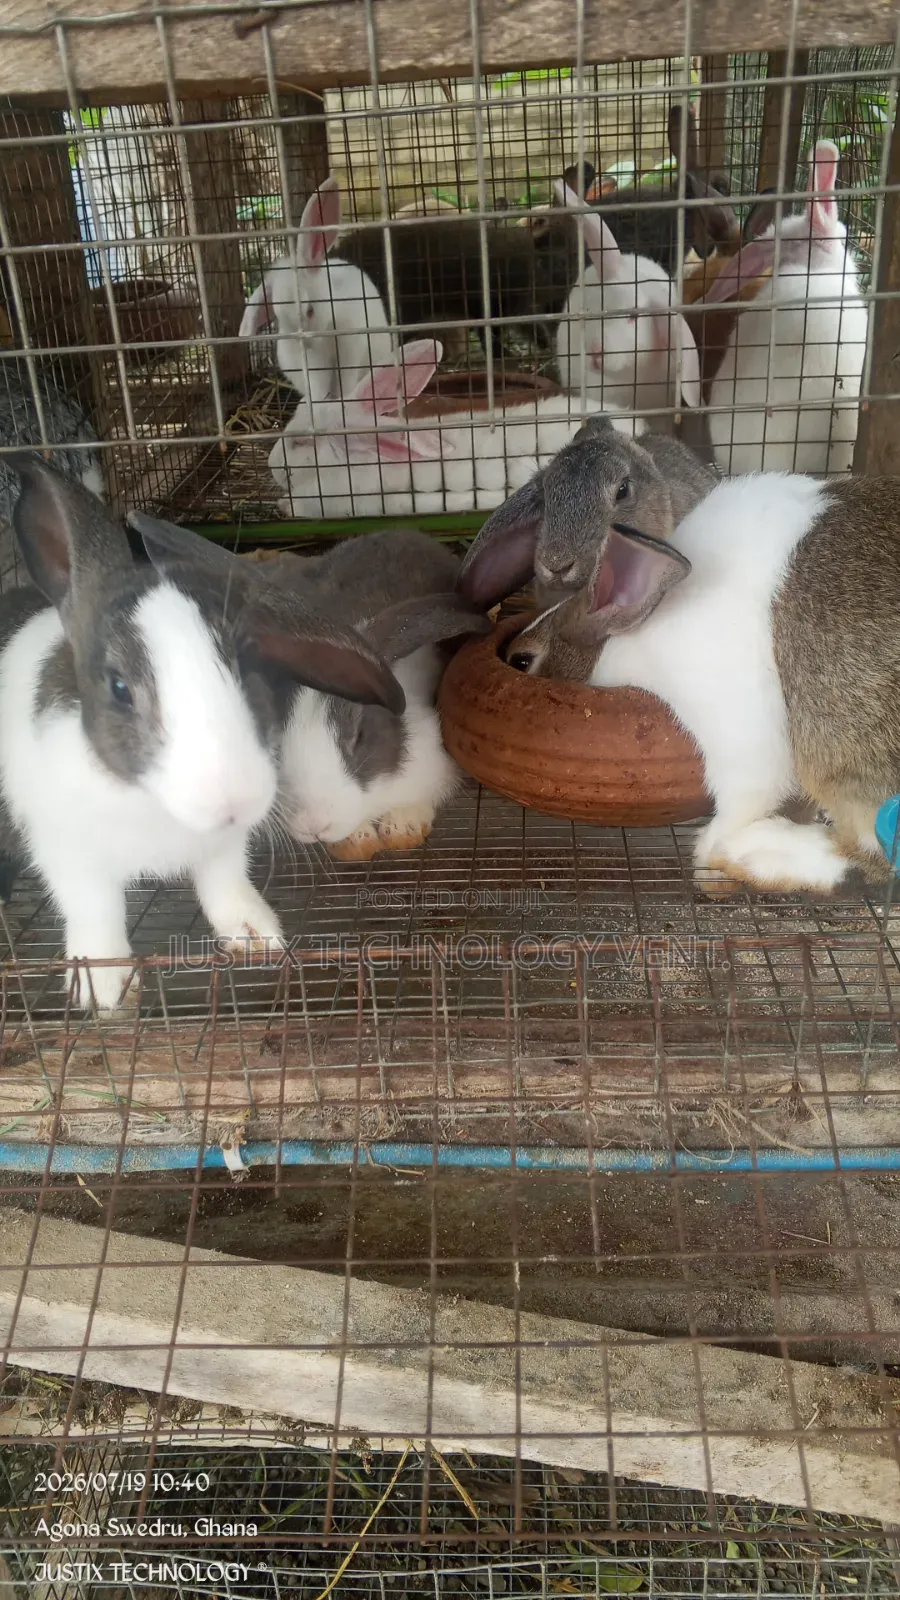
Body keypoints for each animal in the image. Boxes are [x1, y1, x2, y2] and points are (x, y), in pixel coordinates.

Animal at [0, 456, 404, 1012]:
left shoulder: (224, 848)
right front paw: (104, 988)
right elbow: (95, 910)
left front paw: (258, 939)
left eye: (248, 672)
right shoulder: (67, 851)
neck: (159, 810)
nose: (232, 799)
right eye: (119, 688)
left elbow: (225, 886)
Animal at [238, 176, 393, 404]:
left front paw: (344, 398)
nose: (307, 343)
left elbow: (345, 380)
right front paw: (320, 402)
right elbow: (317, 385)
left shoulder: (350, 349)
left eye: (310, 310)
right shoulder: (311, 364)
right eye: (279, 318)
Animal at [504, 467, 900, 895]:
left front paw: (710, 855)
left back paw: (742, 854)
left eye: (522, 659)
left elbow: (749, 793)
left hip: (843, 757)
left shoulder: (738, 732)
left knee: (867, 855)